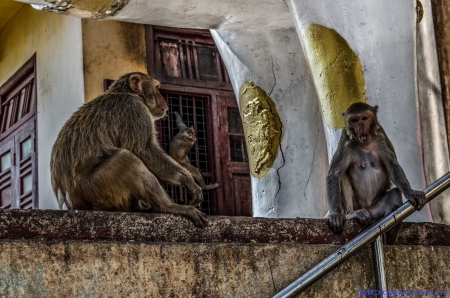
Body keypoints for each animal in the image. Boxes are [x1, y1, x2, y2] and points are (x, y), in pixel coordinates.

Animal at [51, 71, 207, 227]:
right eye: (157, 88)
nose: (164, 101)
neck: (128, 94)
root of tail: (70, 200)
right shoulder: (135, 110)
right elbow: (143, 150)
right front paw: (187, 179)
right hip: (94, 188)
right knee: (127, 158)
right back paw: (167, 207)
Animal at [326, 101, 428, 241]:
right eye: (354, 120)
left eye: (364, 118)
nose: (360, 128)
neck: (365, 144)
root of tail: (368, 209)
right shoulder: (345, 142)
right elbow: (335, 173)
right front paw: (335, 214)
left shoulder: (381, 137)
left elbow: (392, 166)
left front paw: (411, 193)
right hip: (358, 205)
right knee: (342, 176)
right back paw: (352, 213)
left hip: (376, 208)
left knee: (395, 192)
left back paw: (392, 228)